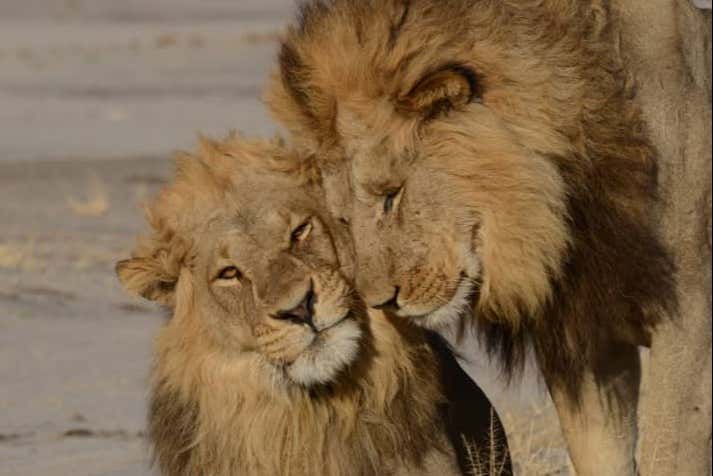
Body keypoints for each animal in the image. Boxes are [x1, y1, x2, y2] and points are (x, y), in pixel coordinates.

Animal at [264, 1, 710, 475]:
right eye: (343, 218)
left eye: (391, 195)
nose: (383, 302)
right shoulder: (589, 344)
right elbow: (600, 454)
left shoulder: (690, 330)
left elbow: (668, 452)